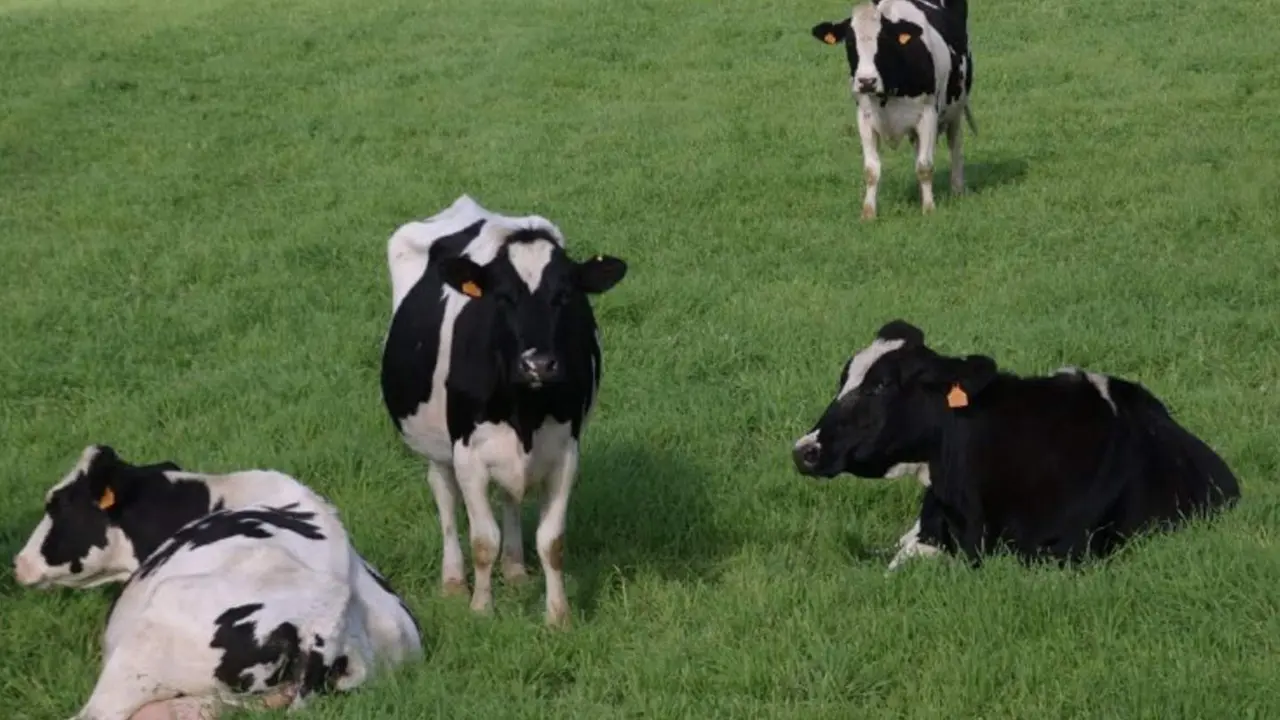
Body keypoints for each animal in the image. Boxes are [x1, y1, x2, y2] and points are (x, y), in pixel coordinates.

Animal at [380, 194, 627, 628]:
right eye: (502, 297)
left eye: (565, 296)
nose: (538, 364)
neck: (524, 408)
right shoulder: (468, 455)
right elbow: (483, 540)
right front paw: (481, 609)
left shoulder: (565, 452)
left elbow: (551, 541)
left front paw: (558, 616)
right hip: (436, 445)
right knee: (444, 496)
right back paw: (453, 580)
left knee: (511, 497)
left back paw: (514, 569)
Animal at [811, 0, 976, 220]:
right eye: (850, 42)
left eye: (884, 41)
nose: (866, 81)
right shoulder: (864, 118)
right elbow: (871, 170)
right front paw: (868, 213)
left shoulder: (928, 115)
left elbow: (925, 166)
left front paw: (929, 208)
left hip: (956, 105)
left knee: (955, 146)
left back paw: (957, 189)